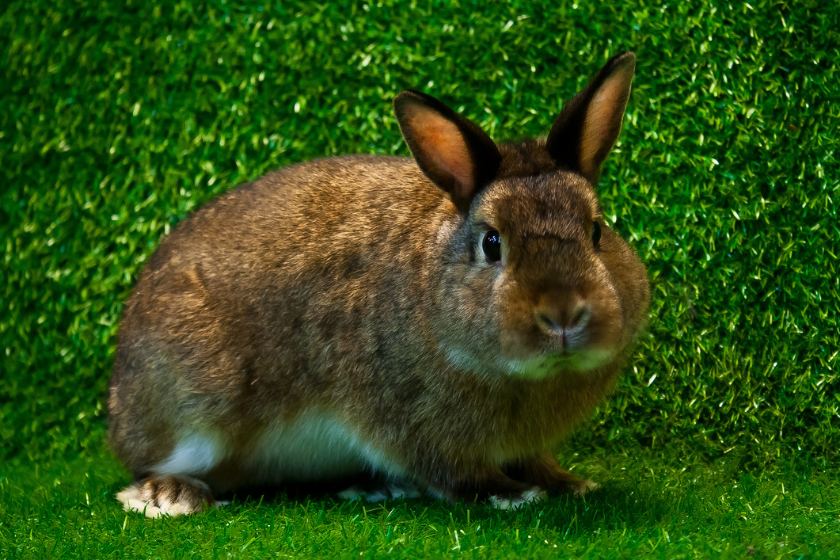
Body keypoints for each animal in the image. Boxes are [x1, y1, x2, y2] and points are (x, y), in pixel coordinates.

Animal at [108, 51, 648, 516]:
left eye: (597, 231)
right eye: (492, 243)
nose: (564, 314)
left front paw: (569, 483)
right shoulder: (406, 420)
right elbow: (451, 471)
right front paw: (511, 494)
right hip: (195, 407)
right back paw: (169, 496)